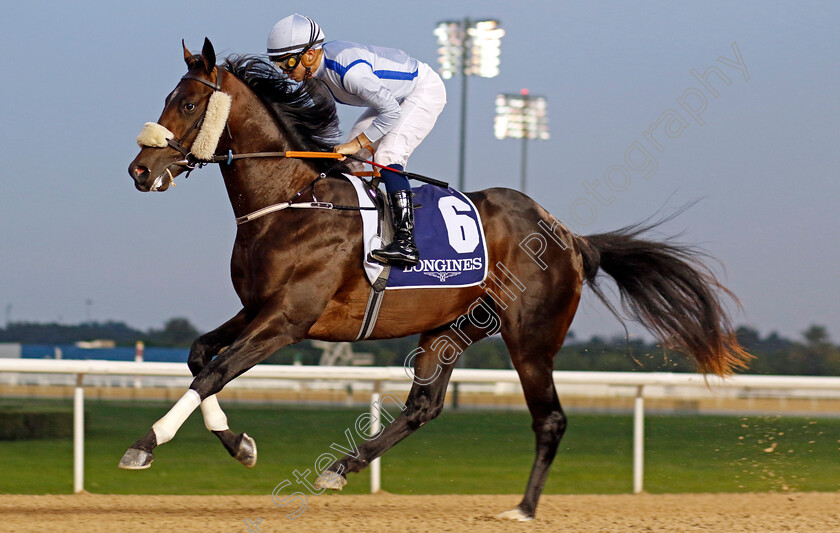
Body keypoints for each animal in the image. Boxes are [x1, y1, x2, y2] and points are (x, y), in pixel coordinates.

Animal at [123, 40, 748, 520]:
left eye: (187, 102)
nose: (139, 170)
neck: (291, 200)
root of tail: (568, 237)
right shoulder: (256, 308)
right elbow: (199, 357)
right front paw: (240, 444)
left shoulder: (288, 319)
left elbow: (217, 370)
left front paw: (145, 445)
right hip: (451, 328)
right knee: (423, 406)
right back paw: (340, 468)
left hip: (530, 338)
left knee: (550, 419)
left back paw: (523, 508)